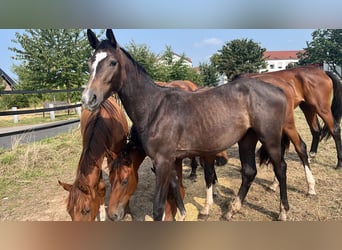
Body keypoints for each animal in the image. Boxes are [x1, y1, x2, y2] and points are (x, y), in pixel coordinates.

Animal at [81, 29, 292, 221]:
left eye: (112, 62)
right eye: (90, 63)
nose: (88, 98)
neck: (154, 109)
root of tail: (278, 90)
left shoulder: (162, 160)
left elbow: (158, 208)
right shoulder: (169, 160)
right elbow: (175, 185)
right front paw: (182, 215)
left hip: (270, 138)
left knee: (280, 168)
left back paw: (283, 211)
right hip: (247, 138)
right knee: (249, 171)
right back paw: (232, 210)